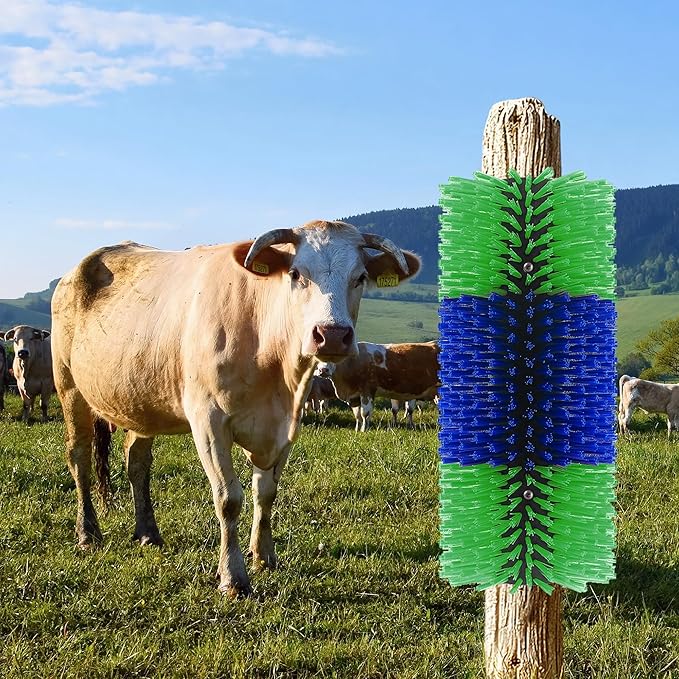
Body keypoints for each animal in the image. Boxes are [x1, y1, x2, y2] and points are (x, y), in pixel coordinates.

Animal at [51, 220, 420, 597]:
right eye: (296, 274)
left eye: (360, 277)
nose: (331, 334)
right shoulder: (209, 422)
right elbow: (229, 498)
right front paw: (233, 576)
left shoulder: (285, 427)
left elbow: (266, 493)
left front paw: (264, 556)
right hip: (69, 386)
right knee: (79, 458)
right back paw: (87, 533)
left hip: (141, 399)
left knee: (137, 462)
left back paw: (147, 532)